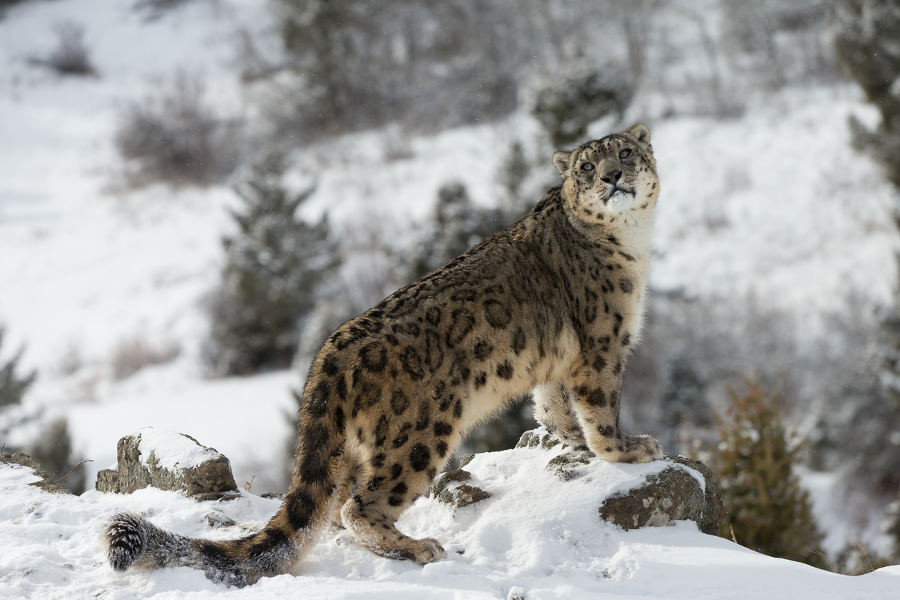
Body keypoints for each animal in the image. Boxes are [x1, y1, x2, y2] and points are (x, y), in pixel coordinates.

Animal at [104, 123, 663, 587]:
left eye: (625, 153)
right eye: (588, 167)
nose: (612, 177)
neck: (632, 243)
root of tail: (329, 353)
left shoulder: (556, 362)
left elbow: (553, 406)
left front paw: (570, 441)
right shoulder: (602, 345)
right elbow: (600, 407)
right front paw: (628, 449)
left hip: (352, 450)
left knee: (331, 507)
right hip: (418, 433)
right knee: (359, 507)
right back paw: (419, 548)